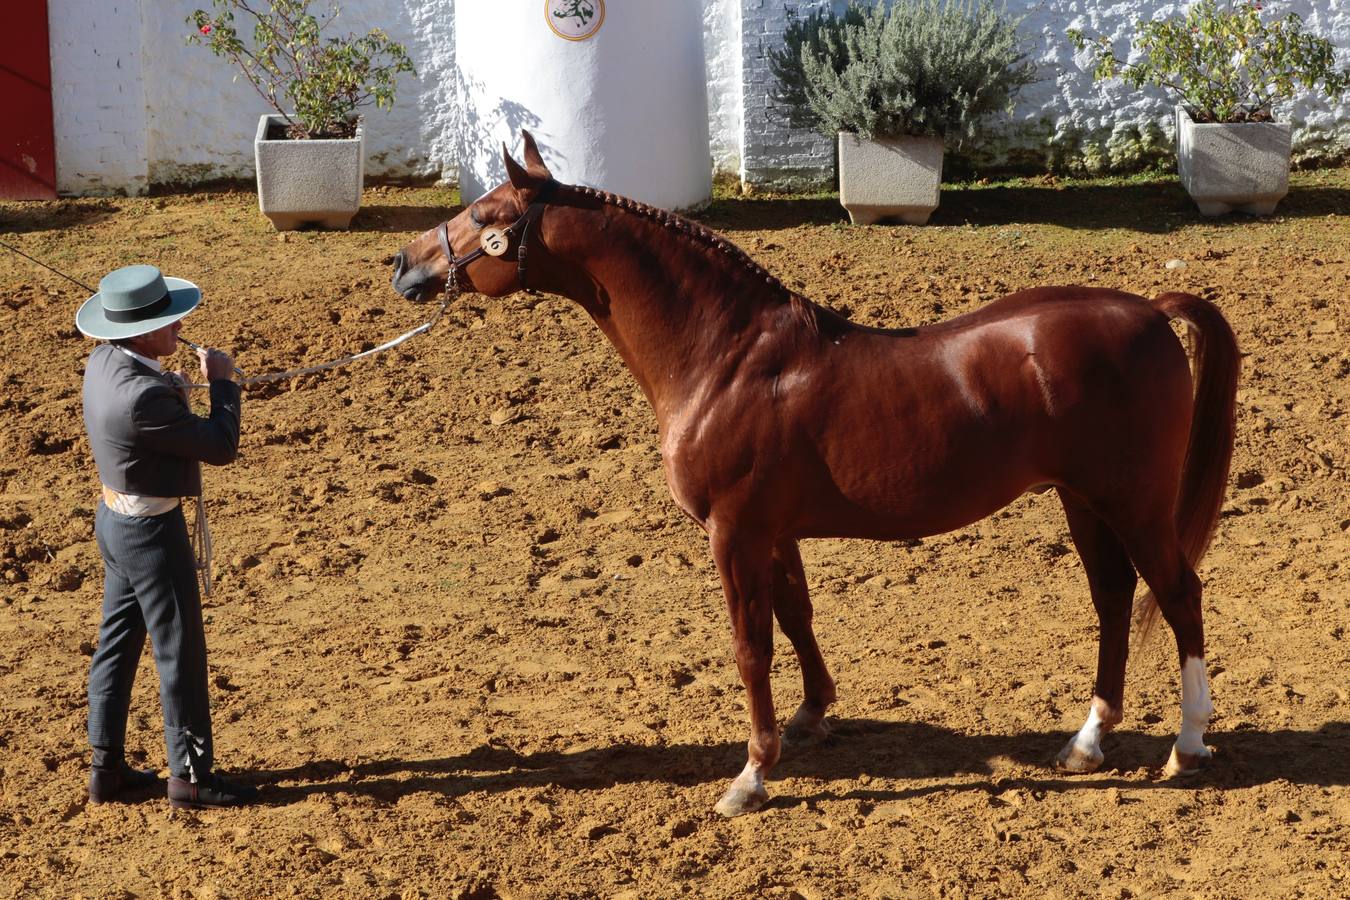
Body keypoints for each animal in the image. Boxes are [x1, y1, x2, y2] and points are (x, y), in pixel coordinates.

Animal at [391, 132, 1236, 814]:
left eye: (486, 212)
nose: (405, 265)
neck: (726, 357)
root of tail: (1149, 311)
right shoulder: (774, 532)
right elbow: (798, 618)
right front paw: (809, 719)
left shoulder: (733, 533)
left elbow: (751, 647)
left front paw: (751, 775)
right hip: (1082, 501)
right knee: (1115, 598)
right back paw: (1087, 743)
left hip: (1132, 502)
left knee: (1179, 594)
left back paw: (1187, 746)